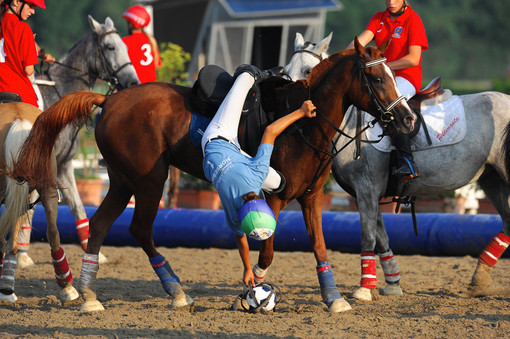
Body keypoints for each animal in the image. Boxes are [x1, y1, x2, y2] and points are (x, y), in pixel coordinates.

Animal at [9, 39, 416, 314]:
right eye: (376, 76)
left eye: (393, 73)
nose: (408, 118)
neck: (304, 125)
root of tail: (108, 100)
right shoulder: (275, 197)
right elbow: (267, 248)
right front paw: (253, 287)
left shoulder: (312, 197)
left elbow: (319, 246)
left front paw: (333, 298)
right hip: (150, 180)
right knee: (139, 228)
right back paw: (174, 291)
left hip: (123, 181)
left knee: (99, 225)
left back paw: (90, 296)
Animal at [284, 33, 510, 302]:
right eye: (285, 70)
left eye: (308, 71)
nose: (291, 109)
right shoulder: (366, 193)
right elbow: (381, 236)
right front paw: (392, 283)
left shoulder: (367, 190)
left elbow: (368, 235)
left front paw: (364, 289)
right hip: (492, 179)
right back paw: (479, 277)